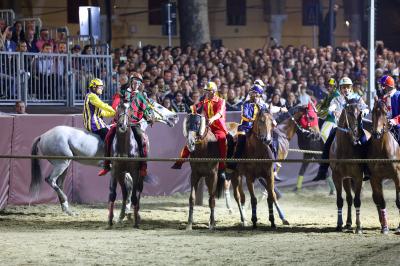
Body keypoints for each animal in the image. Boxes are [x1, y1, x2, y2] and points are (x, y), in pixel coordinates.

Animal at [330, 97, 368, 233]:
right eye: (350, 112)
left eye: (360, 112)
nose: (356, 133)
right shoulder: (337, 177)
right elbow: (340, 201)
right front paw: (339, 224)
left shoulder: (358, 177)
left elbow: (358, 201)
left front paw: (359, 226)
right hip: (346, 179)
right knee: (349, 199)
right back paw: (348, 223)